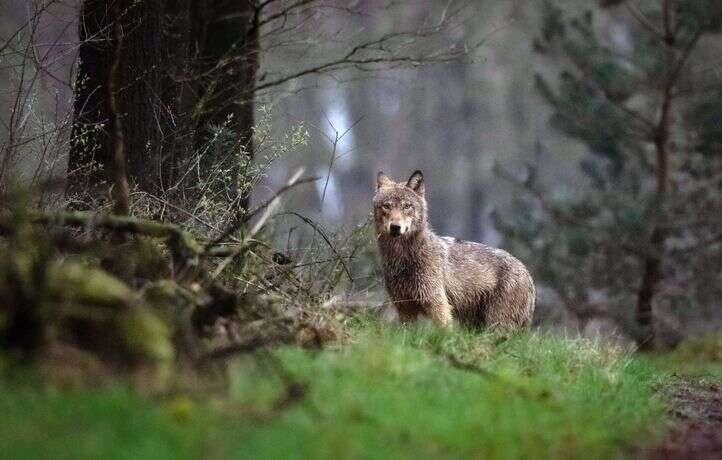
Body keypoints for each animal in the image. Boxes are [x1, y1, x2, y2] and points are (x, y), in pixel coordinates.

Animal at [374, 171, 532, 328]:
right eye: (386, 206)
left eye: (407, 206)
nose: (395, 227)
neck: (402, 258)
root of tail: (527, 272)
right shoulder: (404, 309)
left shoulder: (438, 305)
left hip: (496, 324)